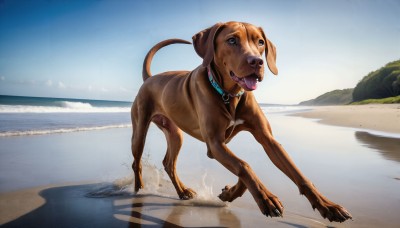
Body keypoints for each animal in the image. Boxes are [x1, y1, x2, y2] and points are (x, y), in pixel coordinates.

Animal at [130, 21, 352, 223]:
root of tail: (149, 78)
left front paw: (328, 206)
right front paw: (265, 198)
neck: (229, 94)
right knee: (136, 161)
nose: (257, 62)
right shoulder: (215, 145)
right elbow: (244, 166)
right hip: (140, 129)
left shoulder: (267, 139)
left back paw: (183, 192)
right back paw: (138, 190)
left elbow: (298, 175)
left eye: (260, 42)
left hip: (175, 134)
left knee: (169, 163)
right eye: (231, 40)